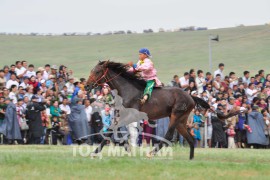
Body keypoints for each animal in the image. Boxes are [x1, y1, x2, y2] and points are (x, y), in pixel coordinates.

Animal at [87, 60, 238, 159]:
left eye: (97, 71)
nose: (87, 85)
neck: (126, 90)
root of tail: (190, 96)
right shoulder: (121, 114)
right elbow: (113, 129)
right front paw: (125, 147)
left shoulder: (131, 115)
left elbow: (112, 130)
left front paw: (95, 152)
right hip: (181, 120)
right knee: (189, 139)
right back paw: (190, 159)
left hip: (176, 115)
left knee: (169, 135)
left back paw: (152, 152)